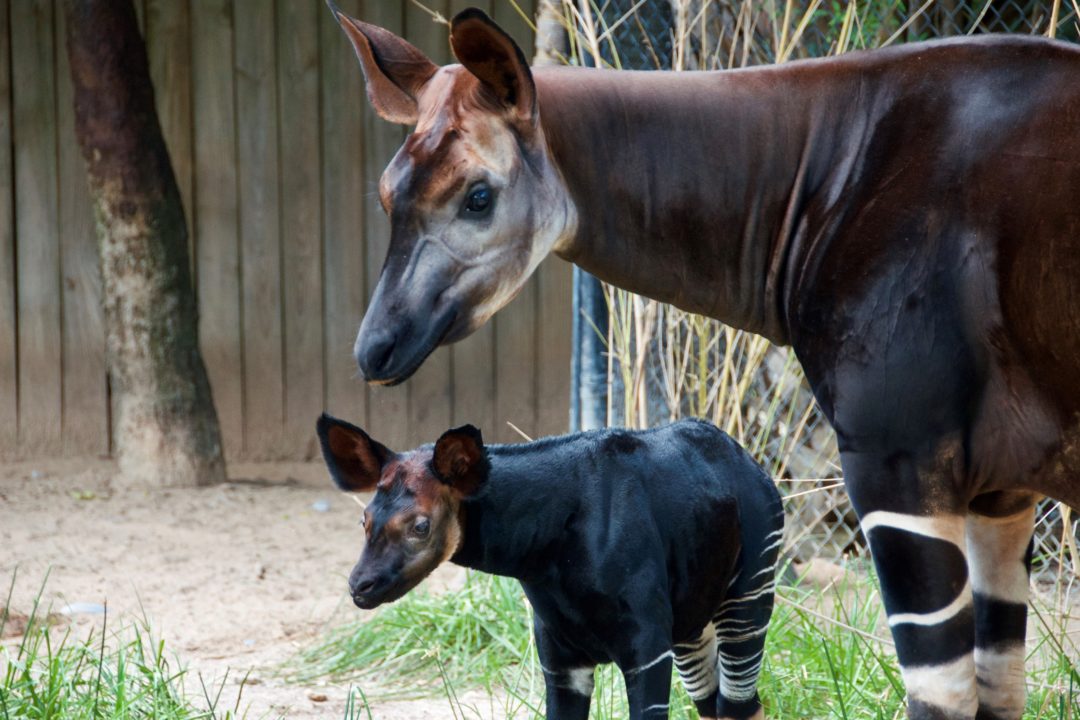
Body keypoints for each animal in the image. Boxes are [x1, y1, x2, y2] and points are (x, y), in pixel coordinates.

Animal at [315, 410, 781, 720]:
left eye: (420, 525)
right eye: (364, 519)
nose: (360, 586)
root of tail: (749, 460)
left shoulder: (646, 648)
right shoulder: (561, 658)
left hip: (749, 594)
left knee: (738, 704)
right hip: (692, 619)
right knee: (718, 704)